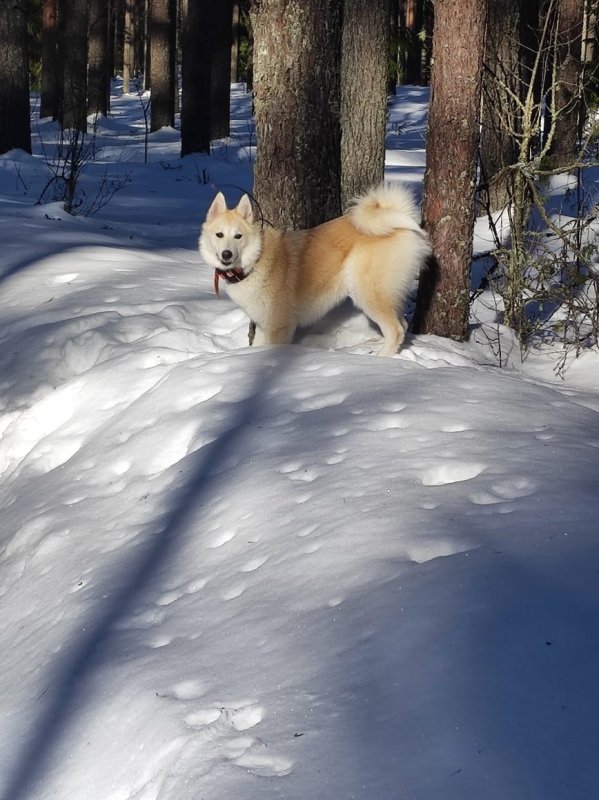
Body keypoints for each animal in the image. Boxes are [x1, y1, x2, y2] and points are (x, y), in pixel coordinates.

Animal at [200, 184, 432, 356]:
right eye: (219, 235)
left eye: (238, 236)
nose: (226, 255)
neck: (256, 260)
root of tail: (399, 219)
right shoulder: (264, 324)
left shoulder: (279, 326)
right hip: (387, 293)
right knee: (402, 324)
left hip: (368, 293)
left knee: (396, 329)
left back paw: (381, 359)